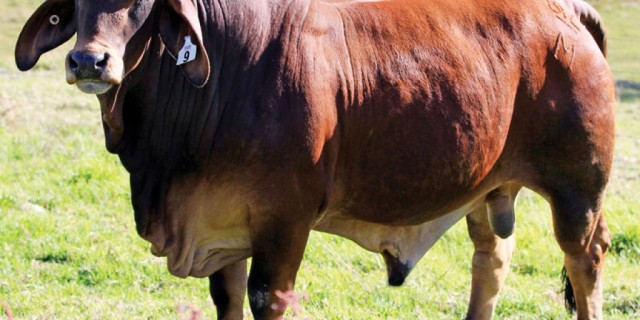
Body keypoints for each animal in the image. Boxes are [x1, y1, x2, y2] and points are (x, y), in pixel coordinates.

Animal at [16, 0, 616, 318]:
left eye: (141, 3)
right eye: (74, 5)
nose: (88, 60)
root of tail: (566, 11)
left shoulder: (284, 223)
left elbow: (266, 298)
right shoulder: (224, 225)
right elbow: (227, 298)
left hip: (578, 191)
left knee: (584, 259)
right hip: (487, 188)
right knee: (491, 261)